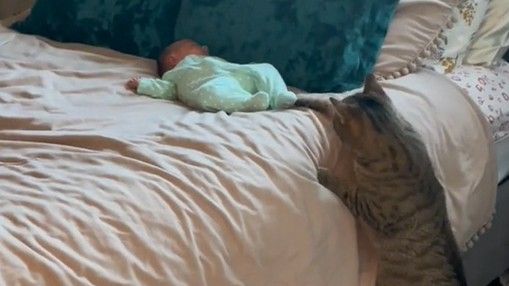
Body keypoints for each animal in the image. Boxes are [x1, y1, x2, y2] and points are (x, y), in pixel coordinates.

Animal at [296, 75, 466, 286]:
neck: (396, 136)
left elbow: (345, 188)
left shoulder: (368, 207)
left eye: (337, 124)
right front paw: (302, 98)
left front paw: (324, 174)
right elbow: (326, 103)